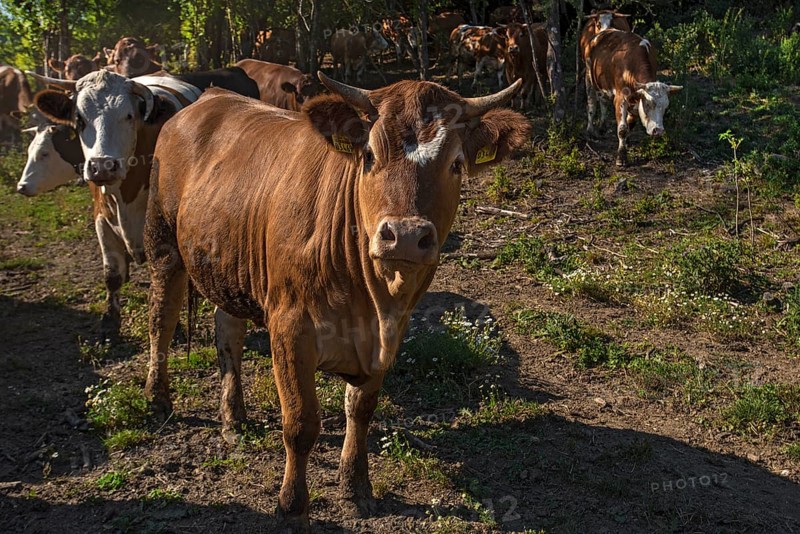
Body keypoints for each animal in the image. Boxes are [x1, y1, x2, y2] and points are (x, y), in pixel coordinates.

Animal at [143, 73, 529, 530]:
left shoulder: (389, 336)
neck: (371, 300)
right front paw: (292, 506)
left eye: (455, 164)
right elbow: (300, 423)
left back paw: (233, 418)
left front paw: (355, 486)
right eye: (369, 155)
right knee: (161, 321)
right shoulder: (289, 328)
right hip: (162, 243)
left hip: (228, 261)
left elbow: (360, 409)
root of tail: (208, 97)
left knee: (228, 332)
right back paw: (157, 399)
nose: (404, 235)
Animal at [585, 29, 682, 166]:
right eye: (648, 104)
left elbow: (630, 124)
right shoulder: (620, 99)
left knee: (603, 101)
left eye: (666, 107)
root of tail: (602, 33)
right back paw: (590, 131)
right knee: (592, 103)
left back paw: (602, 127)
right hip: (589, 75)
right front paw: (621, 157)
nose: (658, 130)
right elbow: (622, 129)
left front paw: (627, 142)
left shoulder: (635, 102)